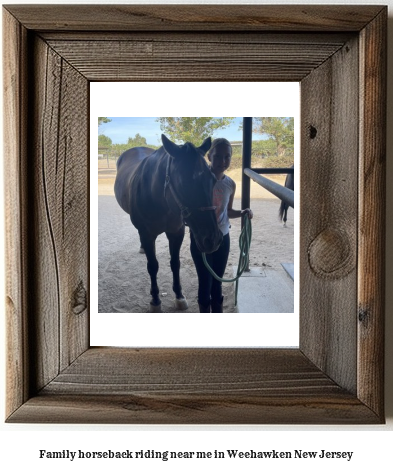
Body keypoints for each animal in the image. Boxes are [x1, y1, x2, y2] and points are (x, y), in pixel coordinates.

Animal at [115, 134, 222, 312]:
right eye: (183, 182)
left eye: (213, 180)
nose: (212, 240)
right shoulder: (147, 235)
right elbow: (153, 266)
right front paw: (155, 300)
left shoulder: (176, 232)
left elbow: (175, 263)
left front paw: (179, 296)